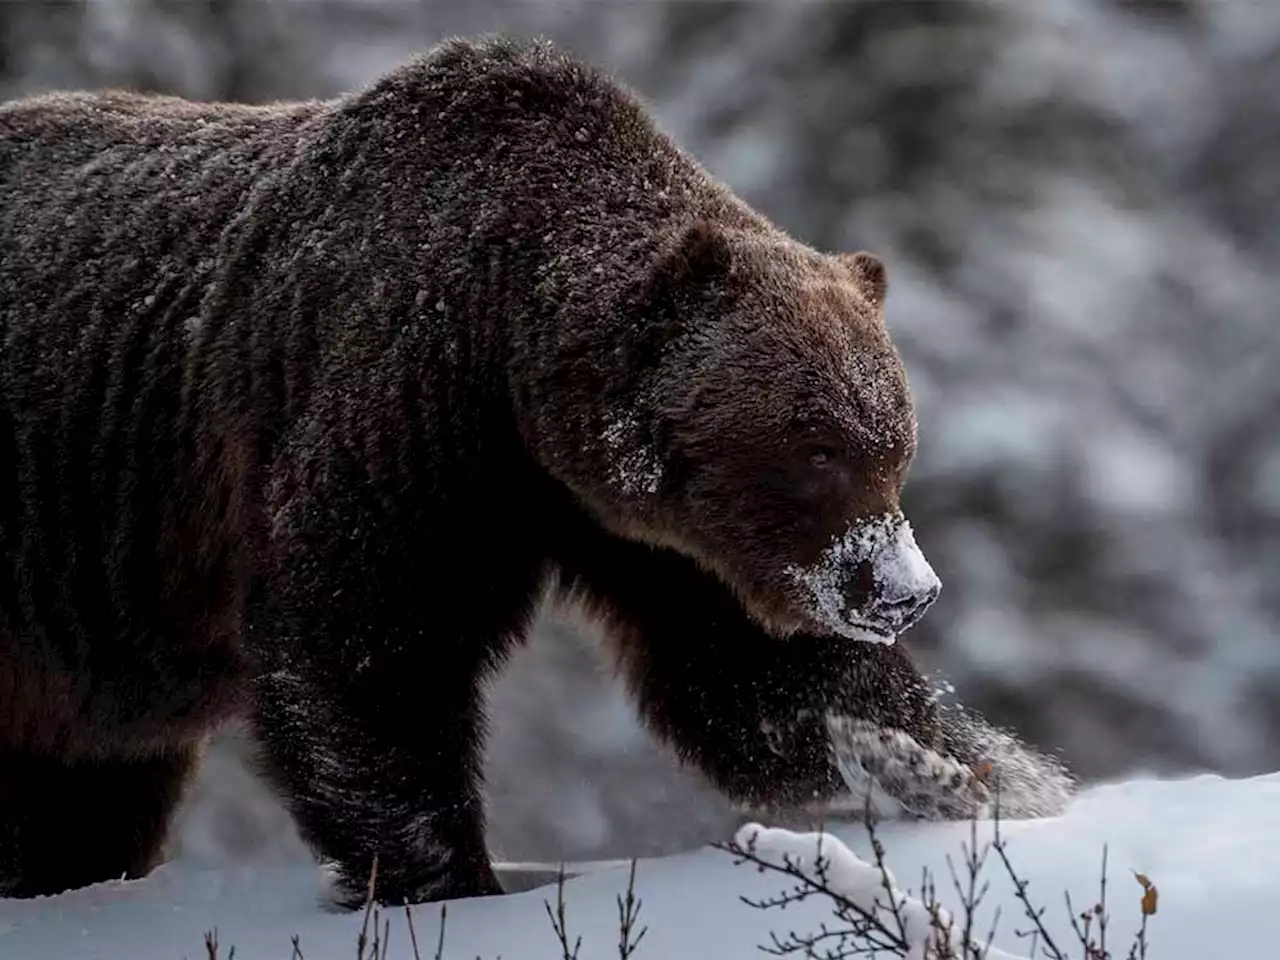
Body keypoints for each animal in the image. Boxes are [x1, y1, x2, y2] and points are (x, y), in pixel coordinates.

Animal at [0, 37, 1070, 911]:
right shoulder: (405, 418)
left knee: (94, 794)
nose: (903, 591)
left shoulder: (629, 527)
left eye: (896, 447)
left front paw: (948, 770)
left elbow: (750, 678)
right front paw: (450, 875)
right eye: (818, 452)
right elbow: (365, 641)